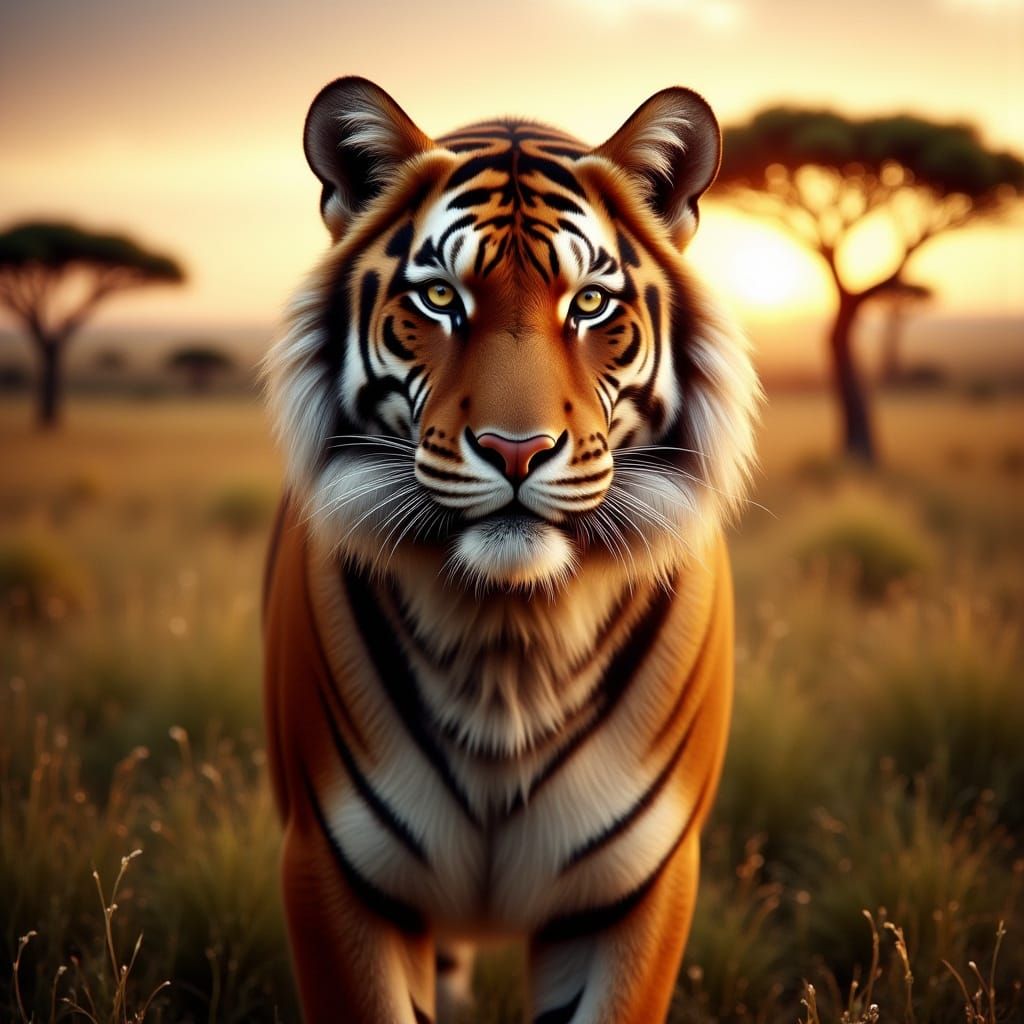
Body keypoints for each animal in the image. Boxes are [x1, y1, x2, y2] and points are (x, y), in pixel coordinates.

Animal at [262, 76, 759, 1024]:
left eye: (590, 305)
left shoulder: (636, 888)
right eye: (440, 300)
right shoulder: (335, 868)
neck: (509, 636)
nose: (517, 450)